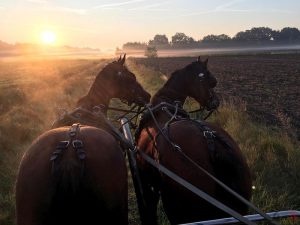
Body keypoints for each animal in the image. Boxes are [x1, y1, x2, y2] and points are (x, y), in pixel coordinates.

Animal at [137, 56, 253, 225]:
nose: (215, 102)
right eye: (211, 81)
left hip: (179, 211)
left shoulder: (148, 183)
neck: (166, 104)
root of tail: (214, 146)